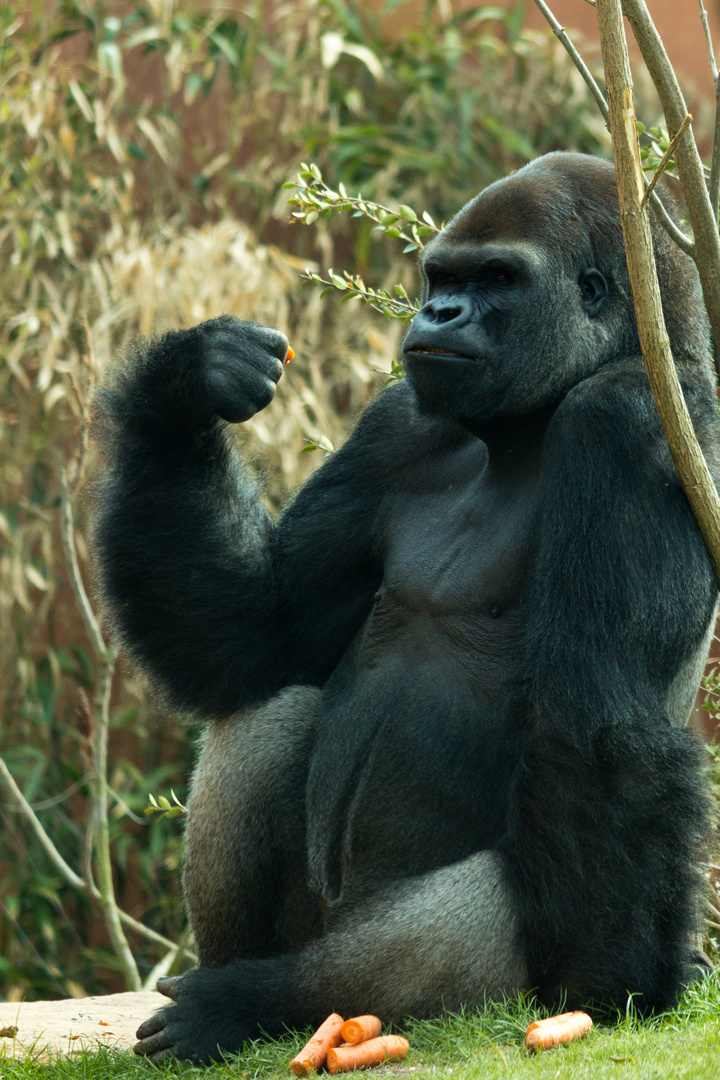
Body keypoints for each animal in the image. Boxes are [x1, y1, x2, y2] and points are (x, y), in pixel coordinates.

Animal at [92, 152, 716, 1062]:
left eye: (497, 279)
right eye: (443, 277)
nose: (439, 312)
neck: (517, 428)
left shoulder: (629, 418)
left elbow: (603, 728)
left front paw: (624, 977)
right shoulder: (396, 424)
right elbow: (260, 631)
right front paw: (183, 386)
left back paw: (258, 999)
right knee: (274, 700)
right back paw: (240, 976)